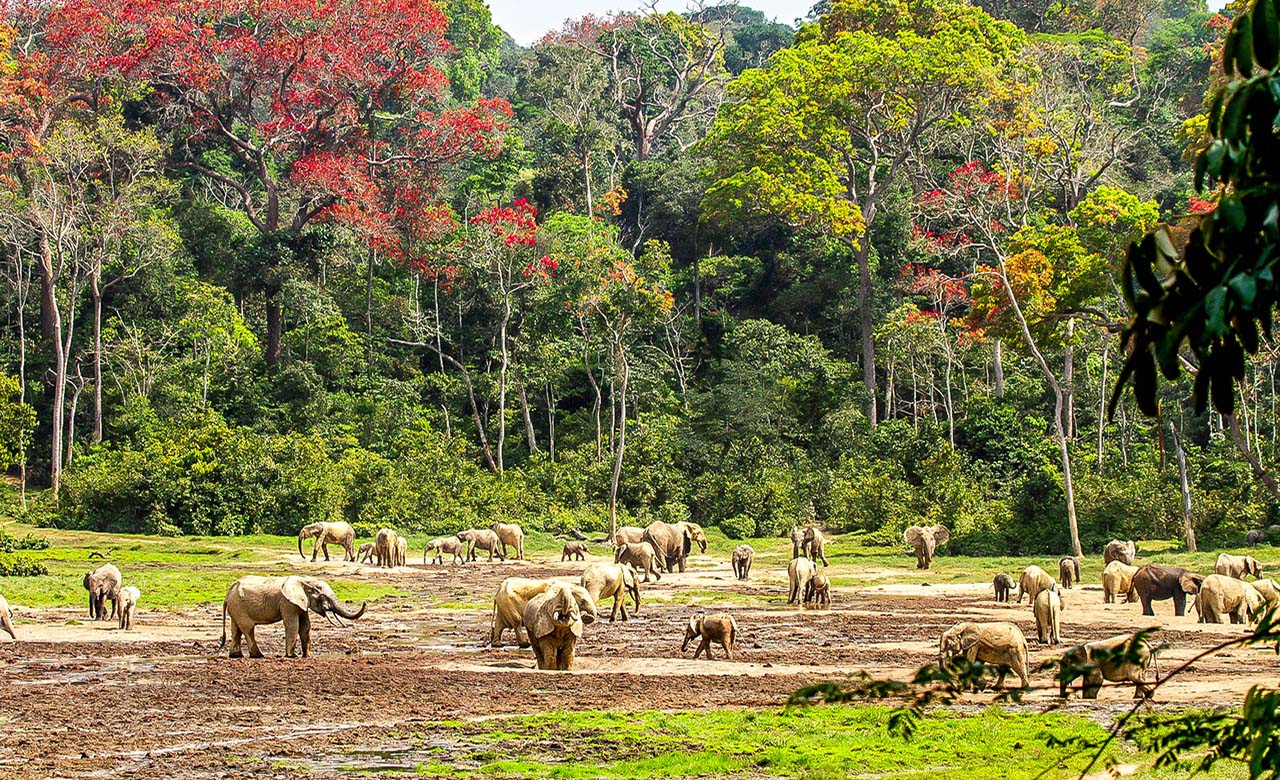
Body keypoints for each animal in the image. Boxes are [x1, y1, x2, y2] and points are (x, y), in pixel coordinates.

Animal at [220, 571, 366, 655]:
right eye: (322, 596)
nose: (365, 602)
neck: (304, 581)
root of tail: (227, 594)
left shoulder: (301, 603)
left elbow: (306, 626)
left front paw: (308, 656)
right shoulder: (288, 603)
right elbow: (293, 625)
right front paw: (292, 656)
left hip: (236, 606)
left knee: (236, 629)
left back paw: (235, 656)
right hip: (239, 606)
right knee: (248, 628)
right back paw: (258, 656)